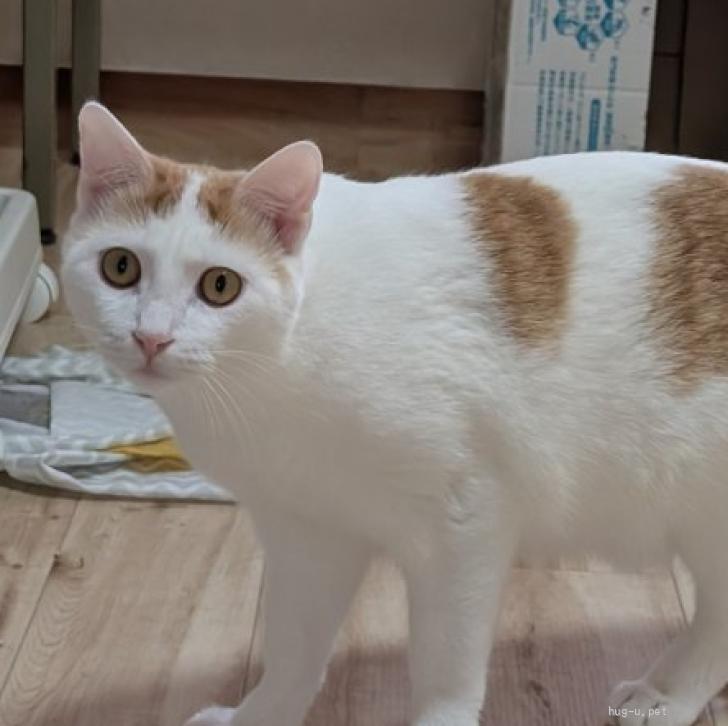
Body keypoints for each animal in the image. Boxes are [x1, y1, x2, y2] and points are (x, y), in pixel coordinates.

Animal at [61, 101, 728, 726]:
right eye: (120, 267)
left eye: (220, 286)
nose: (151, 338)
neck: (275, 373)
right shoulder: (307, 529)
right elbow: (293, 651)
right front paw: (258, 717)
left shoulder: (465, 522)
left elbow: (444, 671)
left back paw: (665, 696)